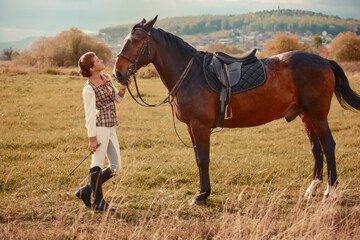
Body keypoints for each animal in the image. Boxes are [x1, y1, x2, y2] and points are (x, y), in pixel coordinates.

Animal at [114, 15, 360, 204]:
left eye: (136, 40)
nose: (118, 73)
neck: (191, 74)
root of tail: (325, 61)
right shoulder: (191, 128)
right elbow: (198, 158)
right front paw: (202, 192)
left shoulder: (200, 126)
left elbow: (203, 159)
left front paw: (201, 196)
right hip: (305, 115)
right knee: (316, 149)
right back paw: (313, 188)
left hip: (317, 115)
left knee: (328, 146)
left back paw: (330, 191)